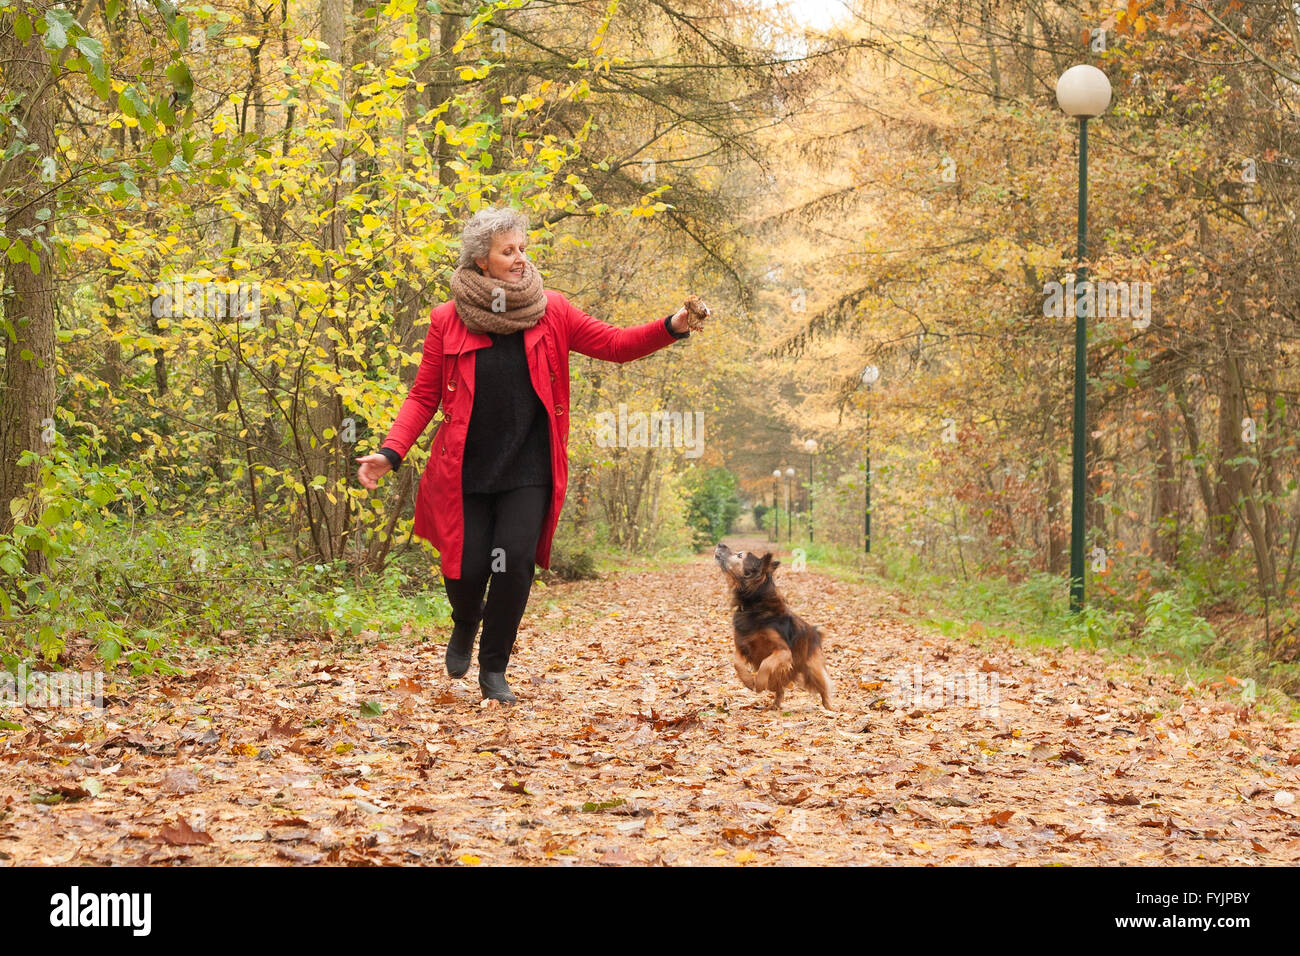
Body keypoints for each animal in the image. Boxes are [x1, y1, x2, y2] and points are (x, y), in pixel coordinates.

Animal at [712, 546, 832, 712]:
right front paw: (749, 681)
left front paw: (760, 683)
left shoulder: (783, 652)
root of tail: (816, 632)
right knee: (780, 690)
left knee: (824, 688)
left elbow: (766, 664)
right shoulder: (742, 647)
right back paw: (775, 704)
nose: (720, 544)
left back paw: (830, 709)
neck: (755, 606)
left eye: (739, 555)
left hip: (812, 669)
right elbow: (737, 664)